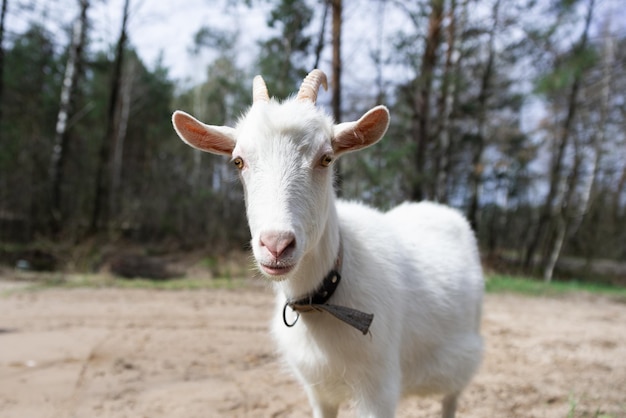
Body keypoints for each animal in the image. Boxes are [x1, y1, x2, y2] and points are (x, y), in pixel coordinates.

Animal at [171, 70, 482, 416]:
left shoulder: (379, 388)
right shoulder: (317, 390)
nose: (276, 245)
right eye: (238, 161)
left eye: (326, 158)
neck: (324, 297)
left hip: (461, 361)